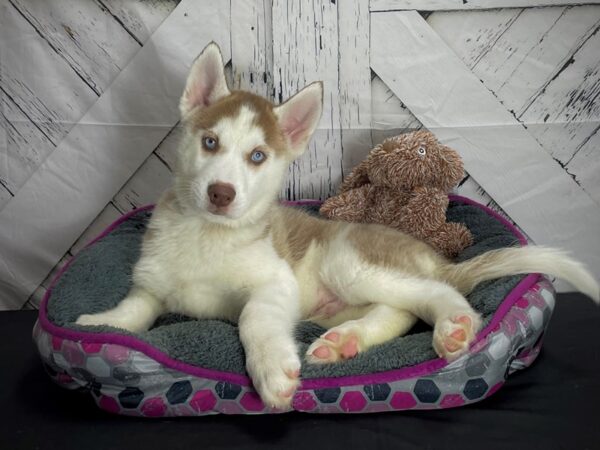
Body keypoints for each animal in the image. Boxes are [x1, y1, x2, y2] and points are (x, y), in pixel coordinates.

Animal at [76, 44, 600, 410]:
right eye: (209, 142)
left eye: (257, 156)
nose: (220, 193)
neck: (208, 235)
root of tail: (435, 255)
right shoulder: (153, 284)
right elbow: (136, 310)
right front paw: (100, 323)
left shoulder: (274, 283)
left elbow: (253, 318)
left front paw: (271, 370)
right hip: (341, 300)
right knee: (398, 312)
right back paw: (345, 343)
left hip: (349, 262)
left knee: (438, 294)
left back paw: (454, 325)